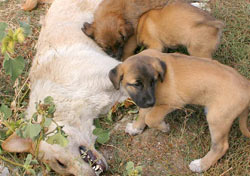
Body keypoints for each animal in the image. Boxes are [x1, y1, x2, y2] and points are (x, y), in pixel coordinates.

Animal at [109, 48, 250, 173]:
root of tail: (246, 86)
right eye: (136, 84)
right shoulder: (145, 99)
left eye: (153, 81)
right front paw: (136, 127)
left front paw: (163, 127)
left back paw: (201, 165)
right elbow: (143, 113)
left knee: (221, 146)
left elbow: (151, 118)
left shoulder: (173, 103)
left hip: (217, 118)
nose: (151, 102)